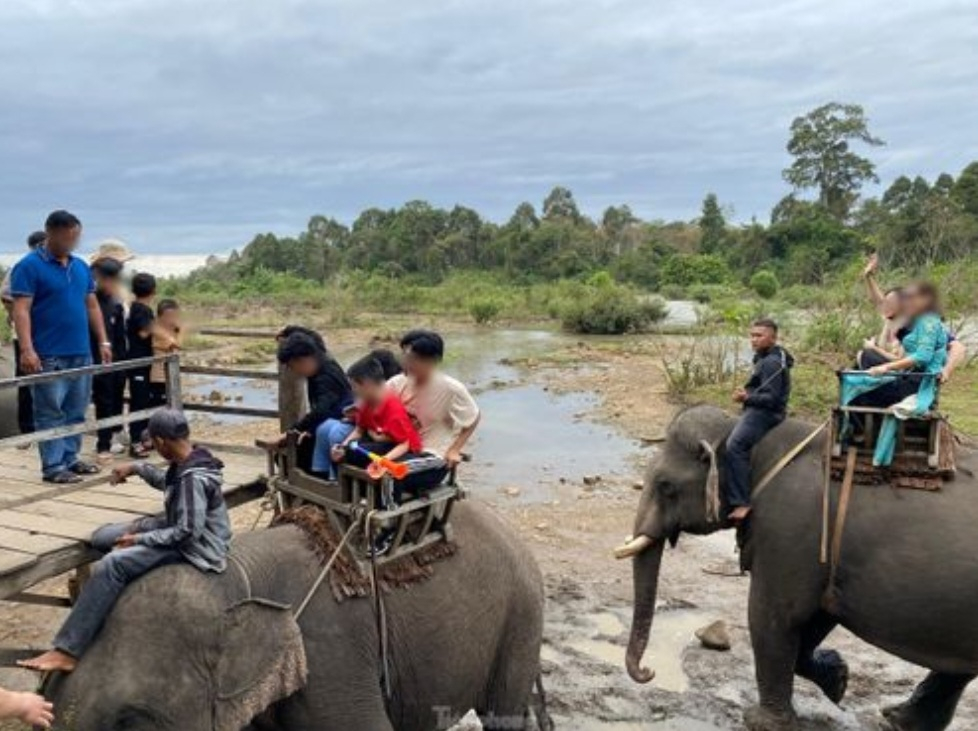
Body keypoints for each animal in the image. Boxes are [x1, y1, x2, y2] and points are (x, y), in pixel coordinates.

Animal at [612, 406, 976, 731]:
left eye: (665, 486)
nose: (648, 673)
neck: (746, 434)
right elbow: (817, 617)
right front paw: (838, 681)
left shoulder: (789, 530)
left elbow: (773, 616)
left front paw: (761, 722)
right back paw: (898, 719)